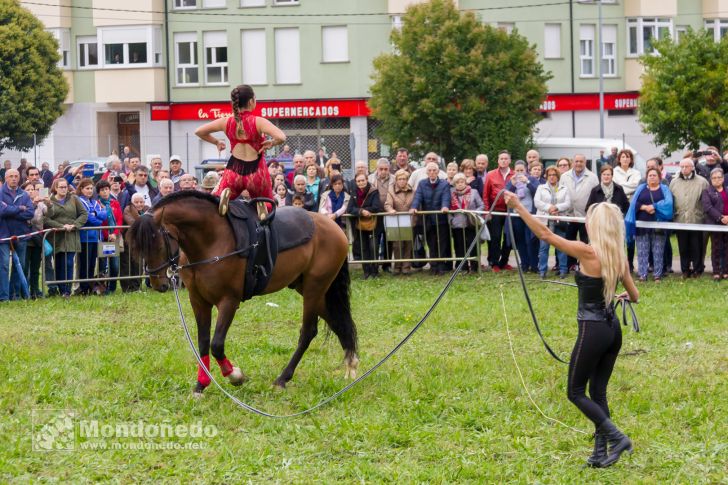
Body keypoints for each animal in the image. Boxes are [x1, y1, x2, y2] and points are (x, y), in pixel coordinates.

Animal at [129, 191, 362, 396]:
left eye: (157, 241)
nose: (158, 283)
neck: (212, 240)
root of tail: (334, 227)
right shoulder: (198, 300)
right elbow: (203, 342)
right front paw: (200, 385)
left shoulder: (229, 301)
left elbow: (216, 344)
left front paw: (235, 376)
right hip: (307, 288)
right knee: (336, 320)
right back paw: (351, 363)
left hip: (315, 287)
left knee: (308, 332)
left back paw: (283, 378)